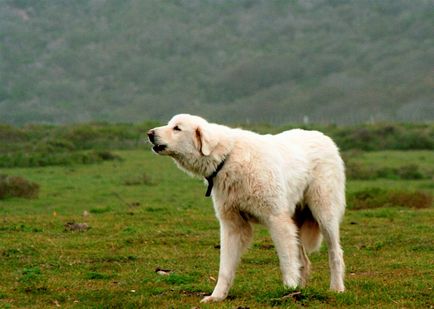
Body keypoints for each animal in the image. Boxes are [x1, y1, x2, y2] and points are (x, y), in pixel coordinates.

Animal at [148, 113, 346, 300]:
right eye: (170, 124)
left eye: (177, 128)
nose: (149, 133)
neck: (227, 158)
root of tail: (324, 137)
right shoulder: (232, 225)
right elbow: (225, 267)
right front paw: (217, 296)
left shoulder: (277, 220)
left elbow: (286, 260)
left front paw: (289, 287)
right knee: (304, 261)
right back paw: (301, 291)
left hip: (324, 214)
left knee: (335, 253)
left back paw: (336, 288)